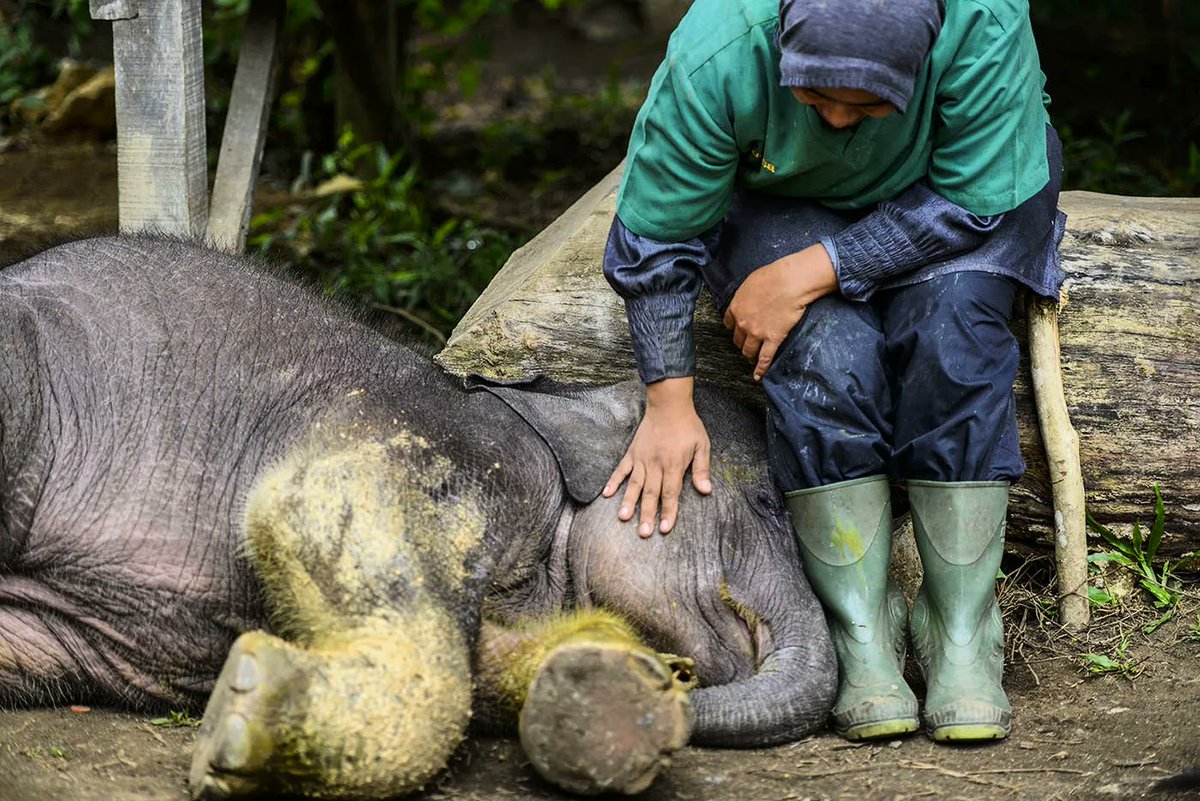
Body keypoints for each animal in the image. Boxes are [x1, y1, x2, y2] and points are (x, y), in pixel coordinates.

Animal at [0, 237, 836, 799]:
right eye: (768, 502)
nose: (679, 679)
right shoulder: (424, 442)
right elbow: (299, 514)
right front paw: (241, 712)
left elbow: (486, 667)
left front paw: (605, 694)